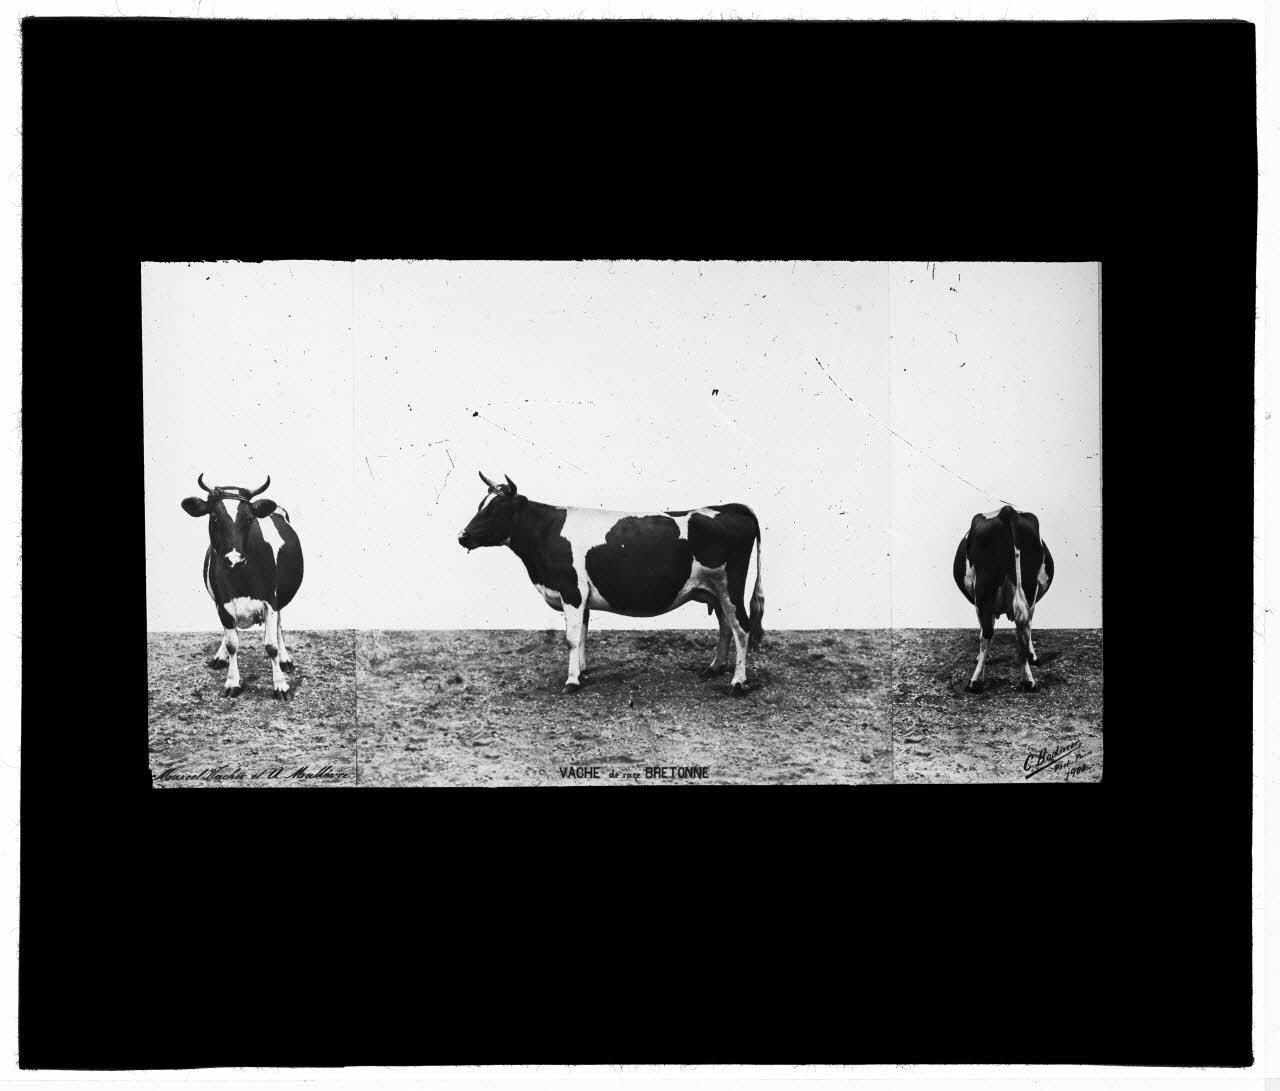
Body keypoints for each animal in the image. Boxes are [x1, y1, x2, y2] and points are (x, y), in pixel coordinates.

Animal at [181, 474, 304, 699]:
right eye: (214, 517)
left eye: (249, 519)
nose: (234, 559)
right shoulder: (222, 603)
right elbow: (232, 644)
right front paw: (232, 681)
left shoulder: (270, 602)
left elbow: (271, 645)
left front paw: (280, 684)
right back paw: (220, 656)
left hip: (280, 598)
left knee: (279, 626)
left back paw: (285, 659)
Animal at [458, 473, 765, 695]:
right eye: (480, 505)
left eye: (496, 509)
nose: (463, 536)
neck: (544, 534)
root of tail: (730, 507)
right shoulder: (581, 597)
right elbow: (582, 634)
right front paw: (582, 672)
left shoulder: (571, 591)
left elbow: (571, 639)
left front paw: (571, 682)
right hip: (715, 589)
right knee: (726, 625)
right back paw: (714, 668)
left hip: (730, 585)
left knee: (742, 627)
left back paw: (738, 683)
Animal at [953, 505, 1054, 692]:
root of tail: (1007, 510)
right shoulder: (1032, 600)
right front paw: (1032, 656)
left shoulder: (977, 603)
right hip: (1028, 586)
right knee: (1022, 629)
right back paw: (1028, 679)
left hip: (984, 589)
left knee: (987, 633)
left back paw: (976, 681)